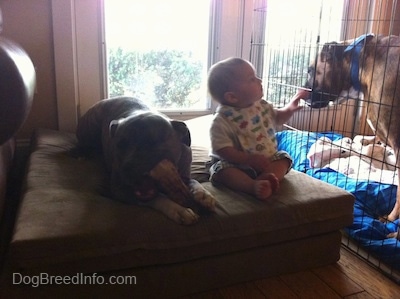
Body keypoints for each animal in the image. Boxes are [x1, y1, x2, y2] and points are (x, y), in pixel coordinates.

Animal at [77, 96, 217, 225]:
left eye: (151, 142)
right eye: (120, 145)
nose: (127, 169)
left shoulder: (184, 173)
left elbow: (193, 181)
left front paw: (203, 194)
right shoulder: (120, 189)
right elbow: (157, 198)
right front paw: (178, 209)